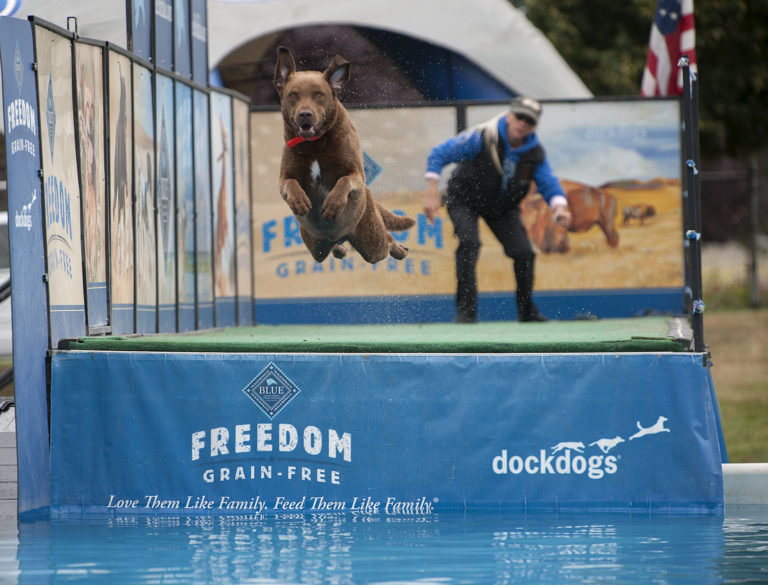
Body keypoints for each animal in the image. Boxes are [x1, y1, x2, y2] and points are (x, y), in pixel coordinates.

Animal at [272, 47, 414, 262]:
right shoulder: (284, 177)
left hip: (372, 240)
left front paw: (332, 203)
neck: (315, 145)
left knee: (387, 241)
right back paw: (340, 249)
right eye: (293, 94)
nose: (305, 114)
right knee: (332, 250)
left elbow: (344, 181)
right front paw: (300, 201)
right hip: (316, 246)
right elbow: (290, 183)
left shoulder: (356, 174)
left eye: (319, 94)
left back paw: (400, 251)